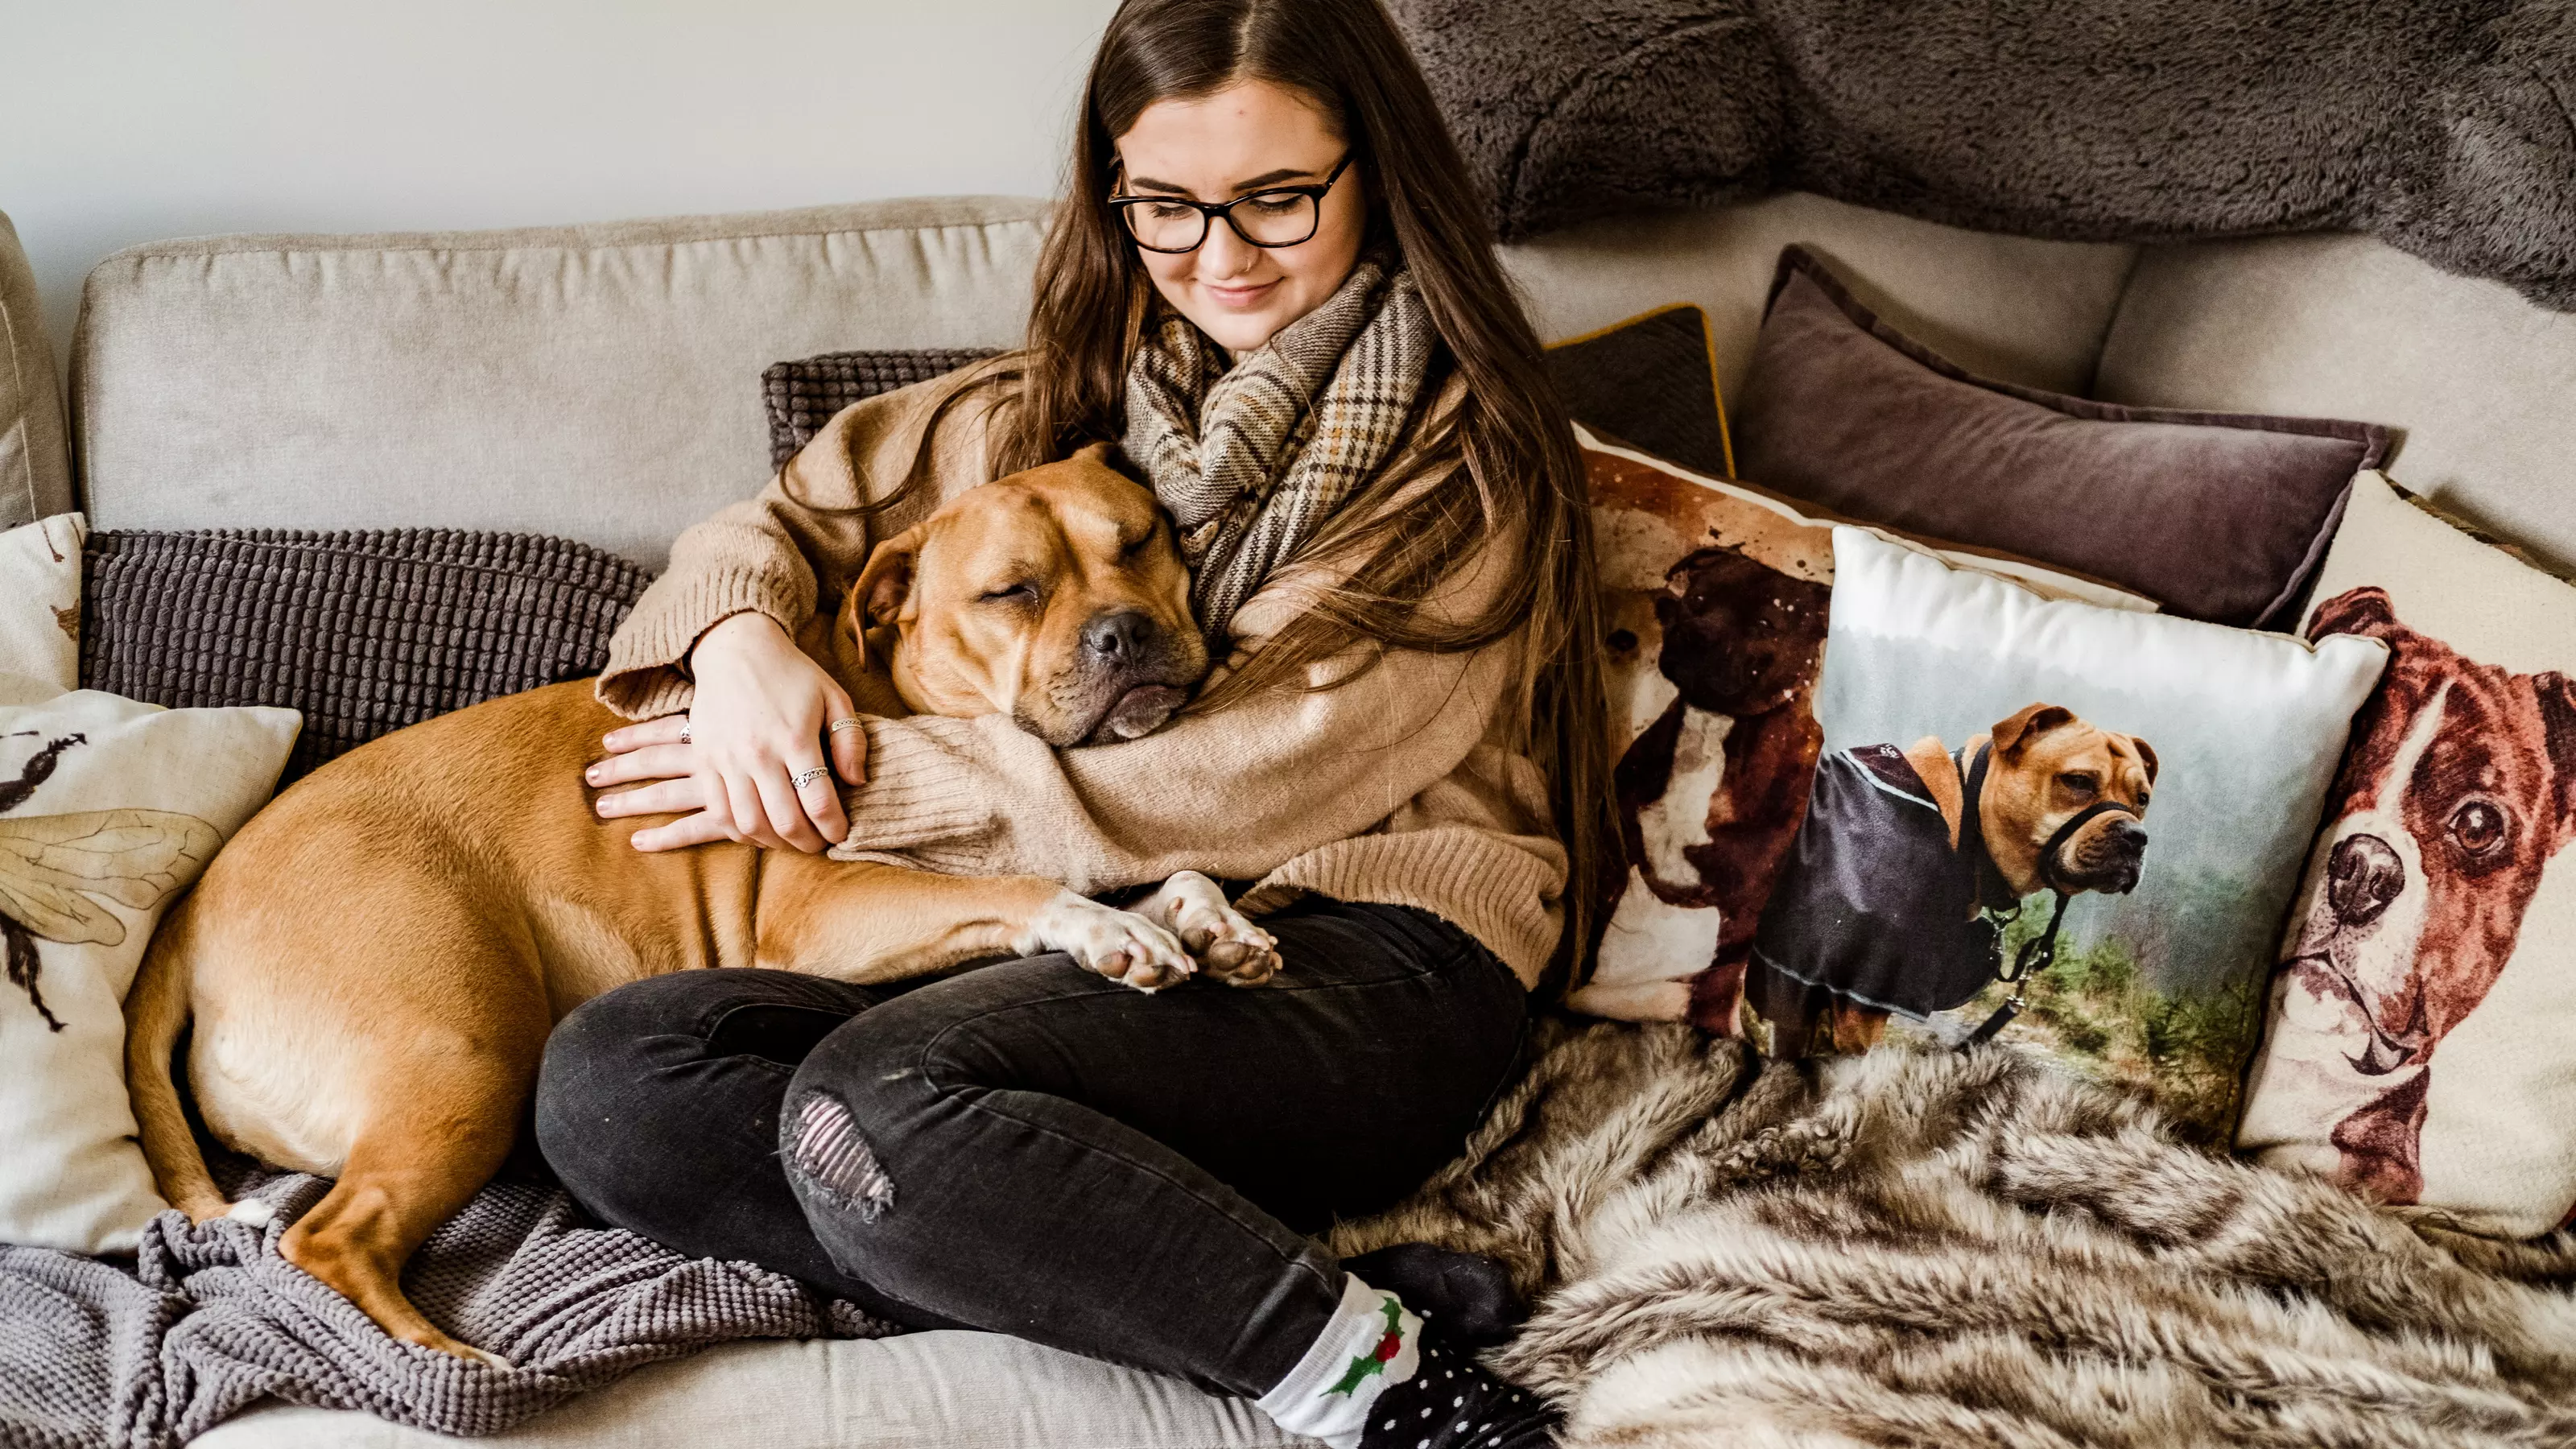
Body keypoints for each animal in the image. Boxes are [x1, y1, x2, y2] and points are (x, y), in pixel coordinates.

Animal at [126, 446, 1282, 1361]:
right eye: (1012, 593)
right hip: (464, 1055)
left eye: (1143, 541)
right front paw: (1111, 928)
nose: (1124, 632)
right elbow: (1031, 879)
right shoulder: (824, 913)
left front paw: (1207, 915)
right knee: (330, 1240)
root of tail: (193, 912)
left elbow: (1137, 864)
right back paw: (449, 1363)